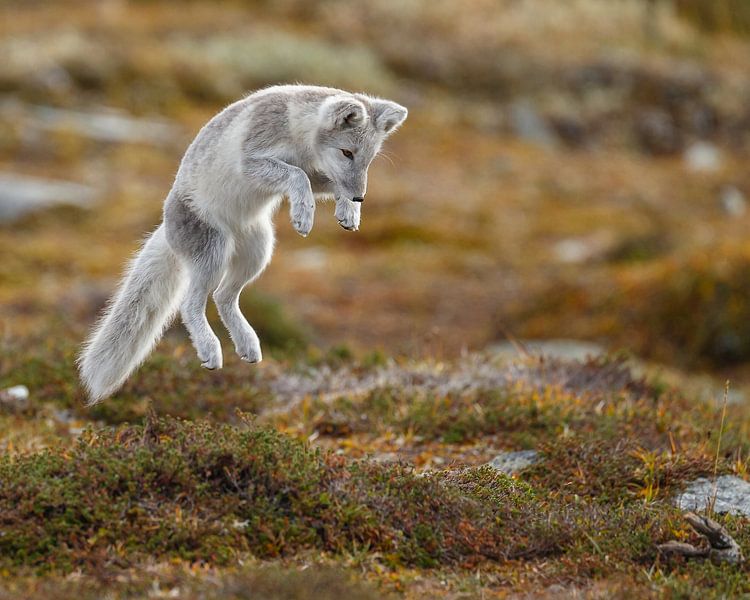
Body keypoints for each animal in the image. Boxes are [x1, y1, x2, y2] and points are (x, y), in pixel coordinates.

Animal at [79, 84, 408, 404]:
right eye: (347, 152)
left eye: (369, 159)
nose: (360, 197)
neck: (298, 133)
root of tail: (166, 228)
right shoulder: (253, 159)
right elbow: (297, 175)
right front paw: (304, 214)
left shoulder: (315, 171)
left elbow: (320, 179)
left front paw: (347, 212)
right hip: (214, 250)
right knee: (191, 304)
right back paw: (210, 348)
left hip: (258, 251)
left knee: (224, 297)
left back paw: (247, 343)